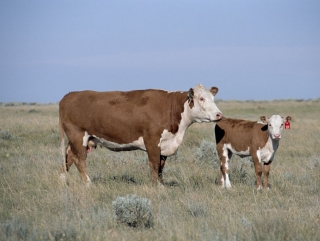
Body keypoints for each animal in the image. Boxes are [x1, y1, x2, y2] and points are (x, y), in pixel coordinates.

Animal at [59, 84, 222, 185]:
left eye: (212, 98)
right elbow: (154, 165)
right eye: (201, 98)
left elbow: (161, 166)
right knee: (79, 160)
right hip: (77, 135)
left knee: (68, 156)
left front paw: (161, 184)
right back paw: (88, 183)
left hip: (80, 139)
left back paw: (62, 179)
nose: (219, 114)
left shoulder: (164, 144)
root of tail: (68, 96)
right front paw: (157, 186)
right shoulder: (152, 141)